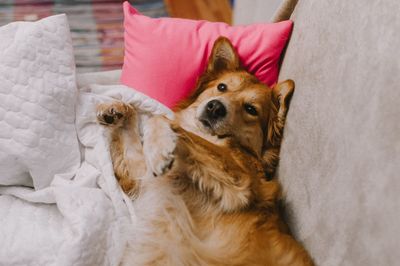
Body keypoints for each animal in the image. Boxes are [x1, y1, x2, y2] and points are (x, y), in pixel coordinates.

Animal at [96, 36, 312, 264]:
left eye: (251, 109)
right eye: (222, 87)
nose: (215, 107)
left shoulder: (241, 181)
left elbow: (161, 119)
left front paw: (161, 148)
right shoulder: (146, 177)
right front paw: (117, 110)